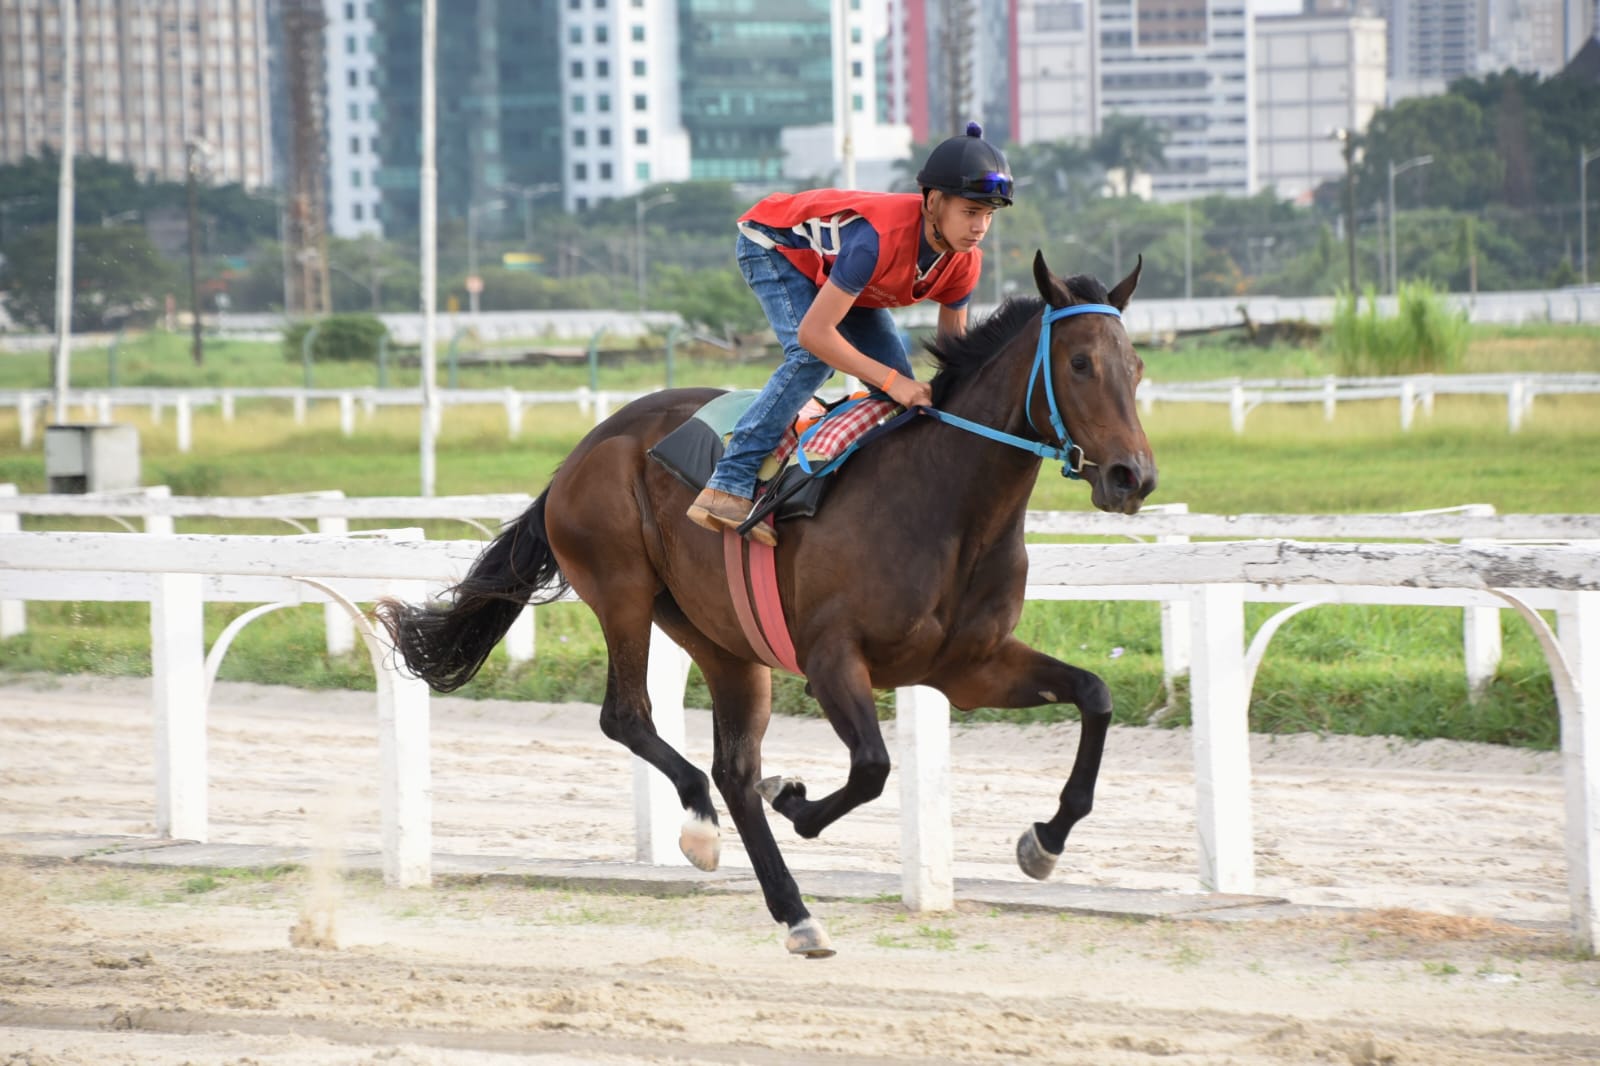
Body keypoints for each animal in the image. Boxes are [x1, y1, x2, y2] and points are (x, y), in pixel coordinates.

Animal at [377, 249, 1152, 953]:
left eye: (1137, 367)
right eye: (1080, 364)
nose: (1132, 476)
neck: (945, 503)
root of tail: (582, 451)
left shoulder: (968, 667)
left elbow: (1095, 695)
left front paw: (1044, 840)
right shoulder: (831, 657)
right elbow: (872, 767)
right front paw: (799, 804)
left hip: (723, 639)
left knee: (734, 771)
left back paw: (794, 911)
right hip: (623, 589)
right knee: (630, 718)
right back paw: (701, 825)